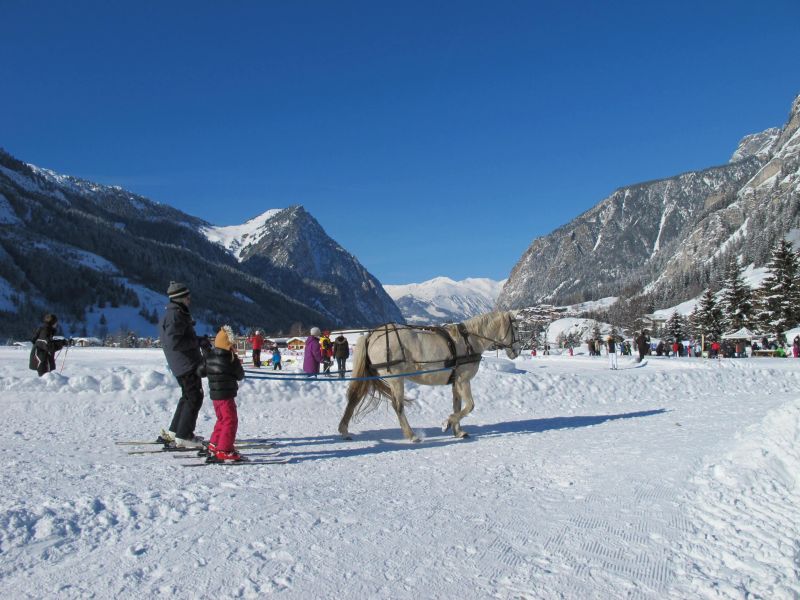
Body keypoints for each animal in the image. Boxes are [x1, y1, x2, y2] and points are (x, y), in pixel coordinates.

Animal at [336, 312, 520, 442]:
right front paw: (447, 423)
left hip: (370, 376)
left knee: (354, 398)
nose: (517, 351)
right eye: (517, 328)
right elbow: (470, 406)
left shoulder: (456, 382)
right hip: (396, 378)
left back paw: (344, 430)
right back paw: (411, 435)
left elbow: (457, 406)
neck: (469, 341)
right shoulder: (463, 380)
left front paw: (458, 431)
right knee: (397, 406)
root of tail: (372, 335)